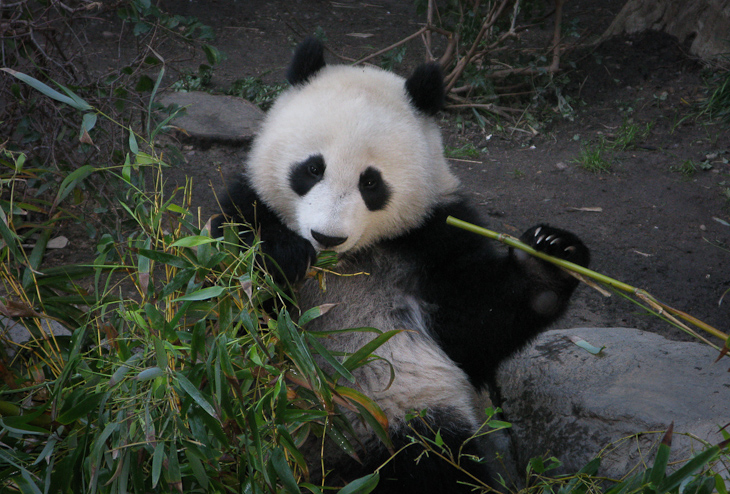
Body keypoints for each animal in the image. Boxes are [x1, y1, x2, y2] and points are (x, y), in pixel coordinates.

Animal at [215, 38, 590, 493]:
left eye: (371, 182)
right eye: (313, 168)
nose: (327, 237)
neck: (347, 261)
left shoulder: (432, 237)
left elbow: (476, 324)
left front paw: (550, 258)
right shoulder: (246, 204)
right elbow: (231, 309)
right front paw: (282, 255)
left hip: (409, 416)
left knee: (432, 464)